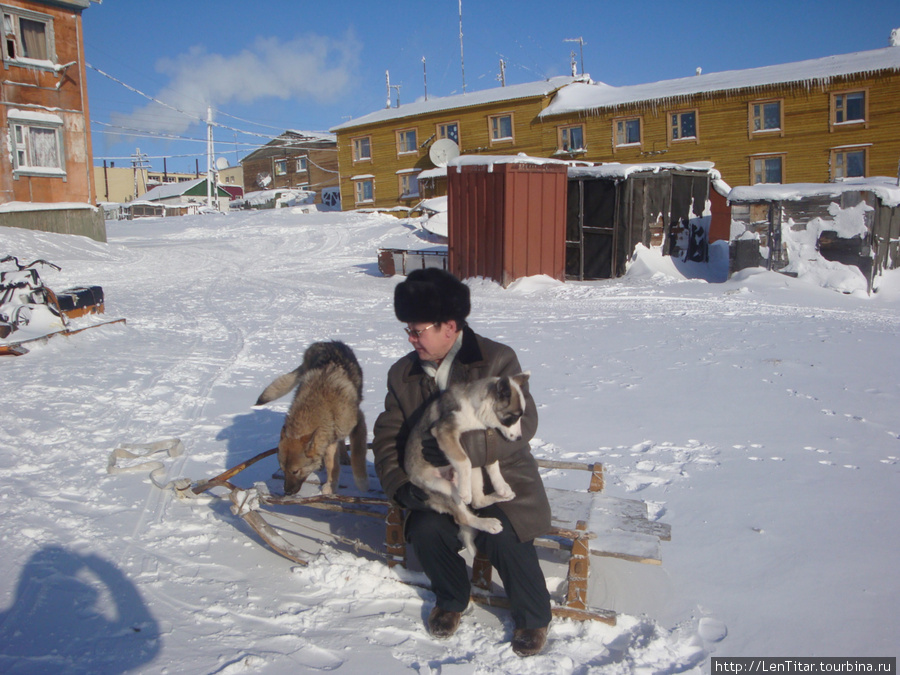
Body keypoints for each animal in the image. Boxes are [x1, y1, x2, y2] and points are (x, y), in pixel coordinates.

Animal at [255, 344, 368, 496]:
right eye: (283, 470)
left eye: (295, 471)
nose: (287, 492)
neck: (324, 405)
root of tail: (324, 343)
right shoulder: (329, 439)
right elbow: (332, 466)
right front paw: (331, 486)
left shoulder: (359, 423)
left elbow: (358, 455)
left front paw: (362, 483)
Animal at [404, 372, 532, 552]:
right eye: (513, 416)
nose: (520, 438)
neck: (475, 410)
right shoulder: (444, 431)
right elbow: (464, 461)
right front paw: (465, 492)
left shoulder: (481, 444)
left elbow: (492, 462)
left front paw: (501, 486)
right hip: (442, 487)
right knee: (463, 517)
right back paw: (487, 522)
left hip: (475, 473)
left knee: (478, 501)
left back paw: (499, 497)